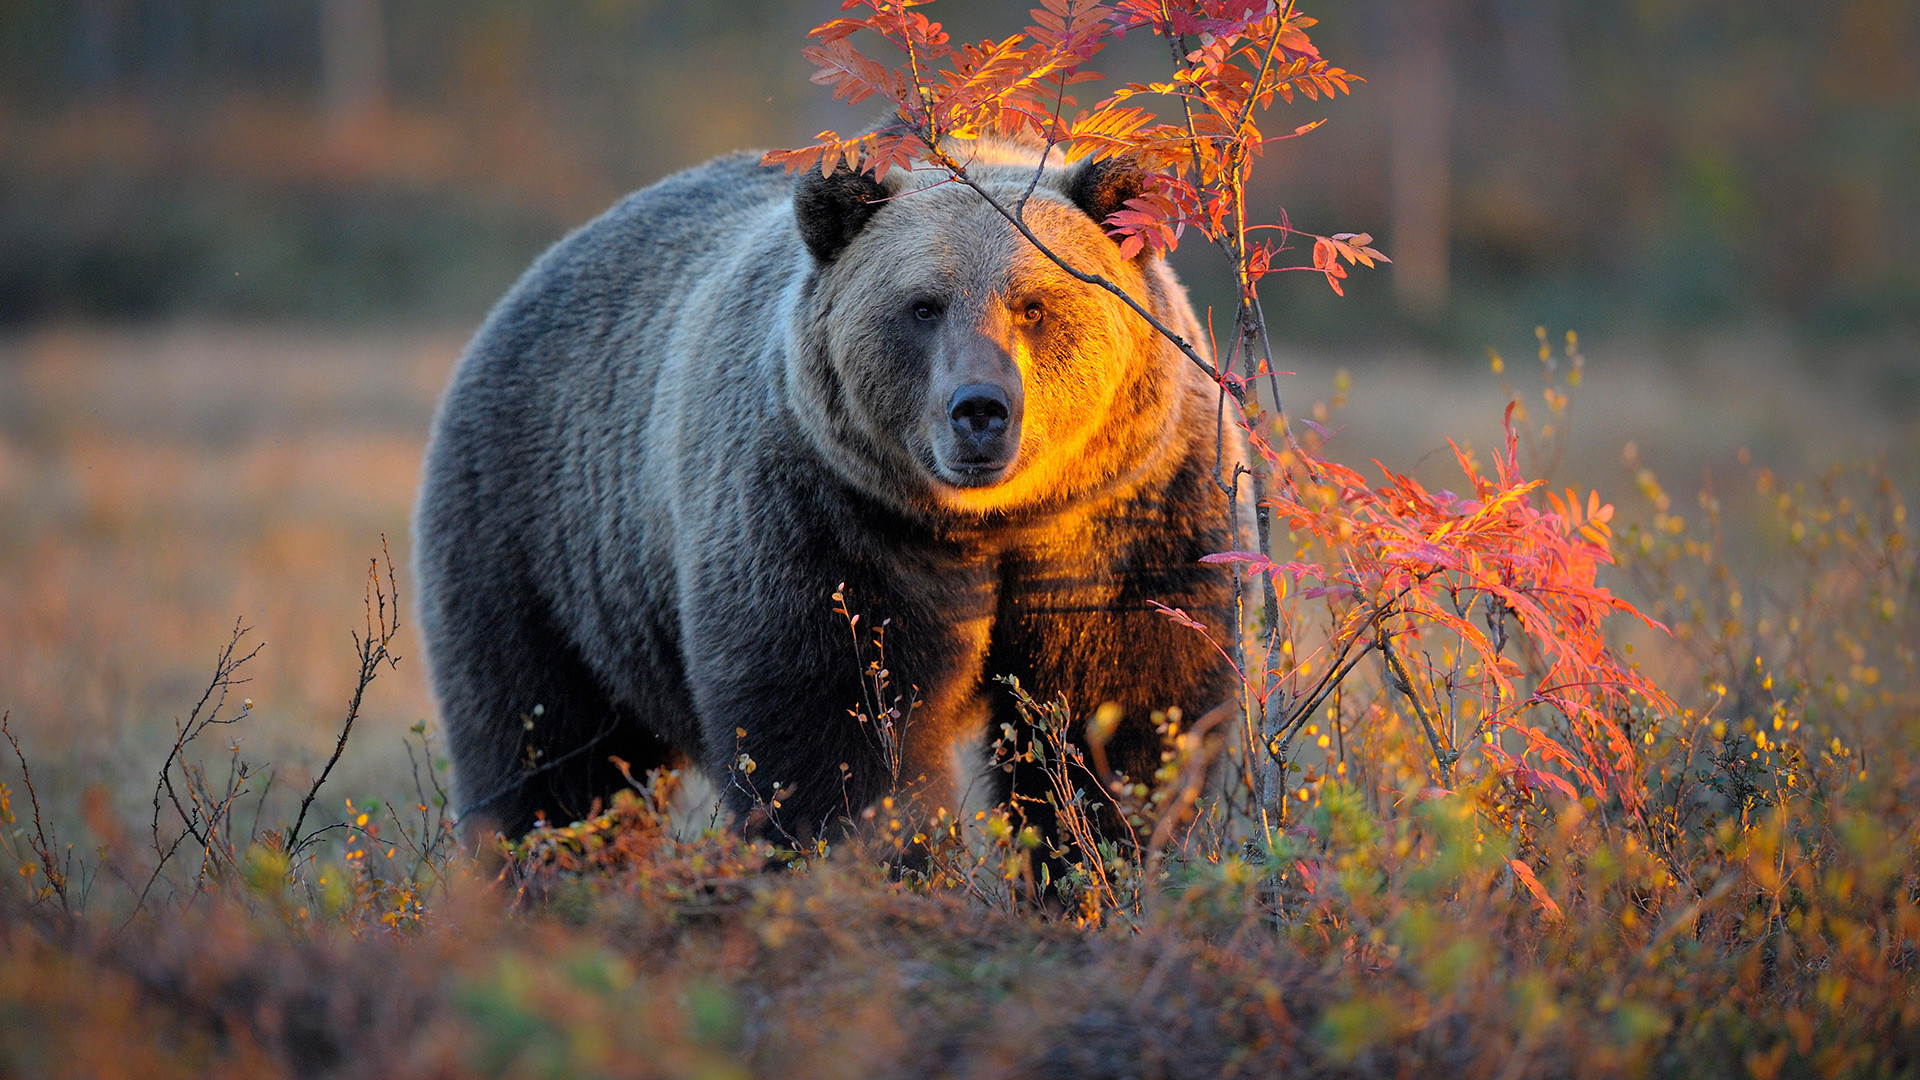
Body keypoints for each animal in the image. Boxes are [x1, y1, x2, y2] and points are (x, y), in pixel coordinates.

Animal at [410, 136, 1236, 841]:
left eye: (1034, 304)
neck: (991, 525)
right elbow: (835, 725)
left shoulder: (1126, 520)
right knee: (546, 747)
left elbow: (1125, 709)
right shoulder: (828, 516)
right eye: (923, 306)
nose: (979, 410)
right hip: (543, 538)